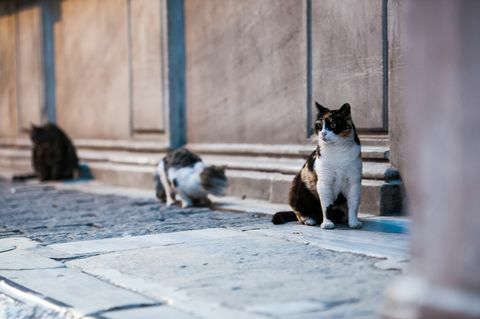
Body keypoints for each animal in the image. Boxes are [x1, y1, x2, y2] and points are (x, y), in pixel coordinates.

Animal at [272, 102, 362, 230]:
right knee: (299, 213)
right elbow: (326, 206)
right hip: (295, 190)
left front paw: (354, 222)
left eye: (333, 124)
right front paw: (327, 223)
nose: (323, 133)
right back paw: (310, 220)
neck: (338, 150)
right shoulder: (324, 182)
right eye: (319, 125)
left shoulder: (354, 182)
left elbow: (353, 204)